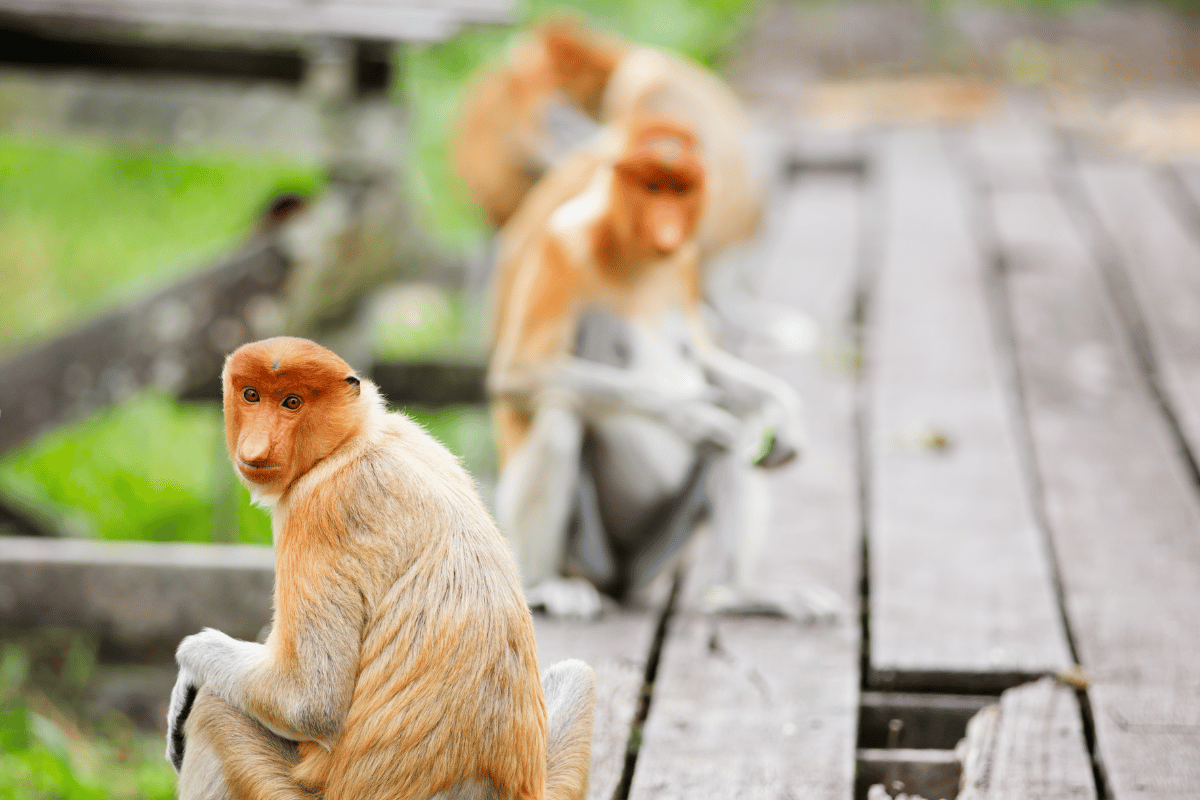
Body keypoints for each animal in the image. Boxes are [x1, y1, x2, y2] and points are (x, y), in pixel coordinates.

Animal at [166, 338, 597, 800]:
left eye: (292, 402)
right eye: (251, 395)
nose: (257, 449)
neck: (353, 439)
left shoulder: (318, 509)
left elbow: (309, 701)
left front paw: (188, 670)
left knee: (215, 711)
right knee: (578, 675)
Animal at [484, 117, 806, 618]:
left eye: (681, 188)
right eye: (652, 187)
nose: (668, 227)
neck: (631, 256)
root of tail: (620, 580)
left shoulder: (686, 266)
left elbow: (707, 361)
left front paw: (784, 415)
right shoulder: (560, 249)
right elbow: (517, 374)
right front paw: (689, 416)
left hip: (660, 555)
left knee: (741, 429)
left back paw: (742, 593)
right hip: (586, 551)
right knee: (559, 417)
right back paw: (550, 586)